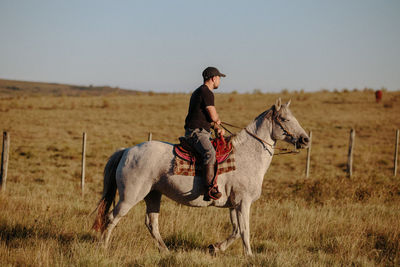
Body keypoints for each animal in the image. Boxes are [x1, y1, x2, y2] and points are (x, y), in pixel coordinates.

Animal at [94, 98, 310, 255]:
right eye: (285, 119)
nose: (305, 139)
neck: (248, 155)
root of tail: (127, 150)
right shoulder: (243, 202)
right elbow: (245, 231)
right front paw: (249, 256)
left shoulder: (234, 204)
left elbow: (236, 230)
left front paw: (215, 247)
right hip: (130, 197)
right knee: (112, 218)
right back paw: (103, 248)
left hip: (153, 195)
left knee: (151, 223)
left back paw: (166, 251)